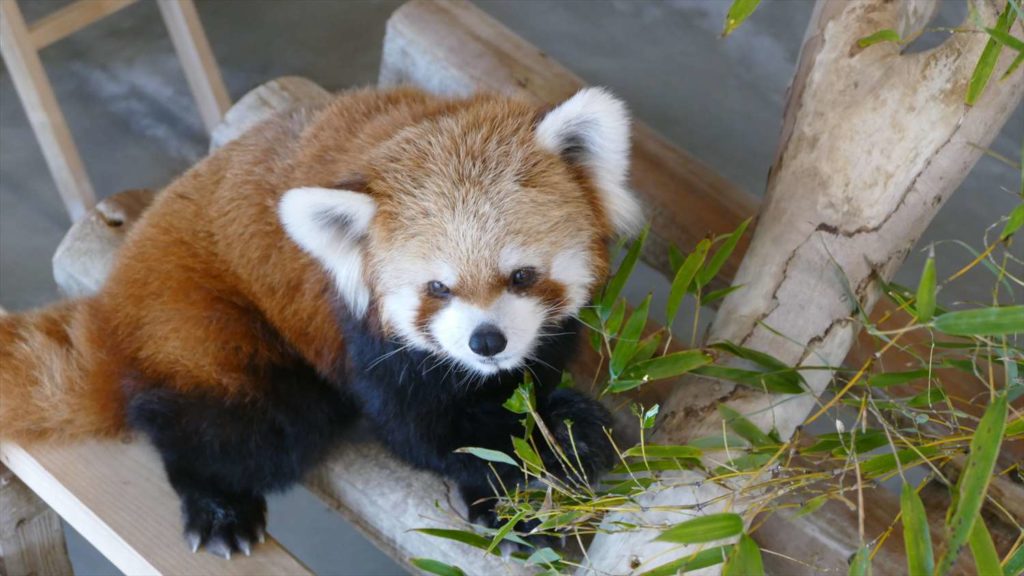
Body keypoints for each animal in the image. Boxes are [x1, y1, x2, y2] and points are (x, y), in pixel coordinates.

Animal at [0, 86, 638, 557]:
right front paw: (546, 451)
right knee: (237, 427)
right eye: (437, 289)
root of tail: (113, 299)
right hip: (204, 326)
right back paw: (218, 507)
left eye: (522, 276)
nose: (487, 341)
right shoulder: (365, 337)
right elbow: (423, 430)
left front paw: (555, 434)